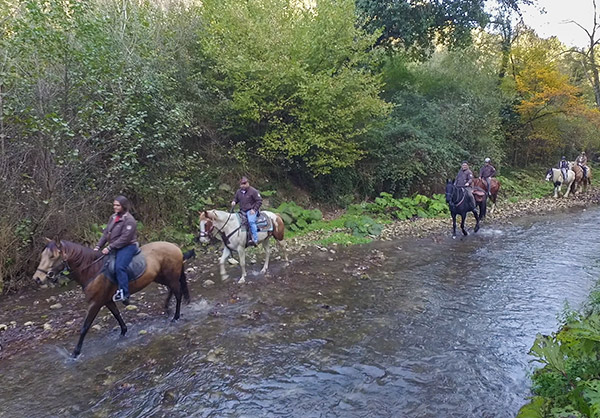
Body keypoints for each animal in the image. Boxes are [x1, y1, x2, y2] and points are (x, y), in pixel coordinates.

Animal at [33, 238, 192, 356]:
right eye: (42, 256)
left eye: (52, 256)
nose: (37, 279)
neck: (92, 270)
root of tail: (175, 246)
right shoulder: (107, 300)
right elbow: (116, 315)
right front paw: (123, 333)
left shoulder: (95, 303)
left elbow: (85, 327)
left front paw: (75, 353)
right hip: (161, 277)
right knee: (172, 289)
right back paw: (167, 308)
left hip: (169, 276)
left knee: (177, 293)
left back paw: (175, 317)